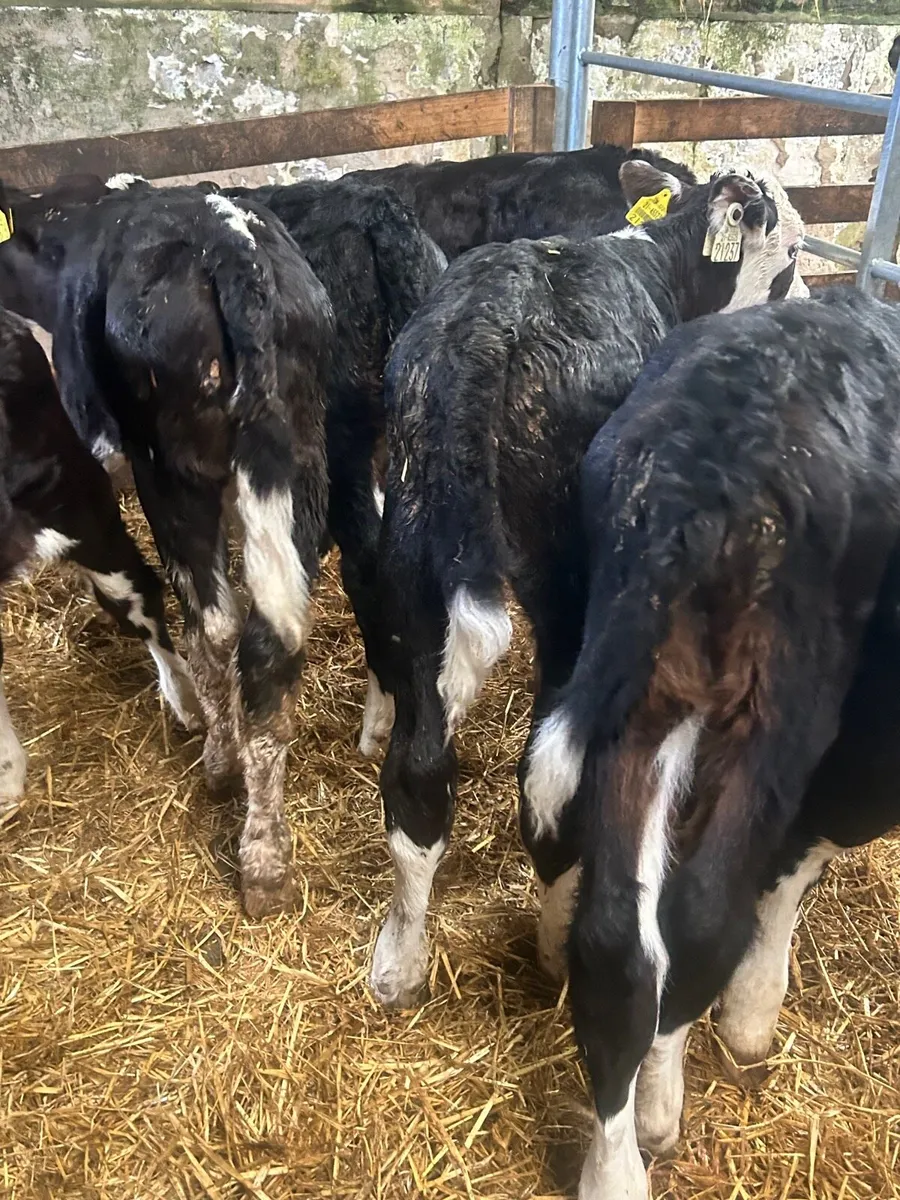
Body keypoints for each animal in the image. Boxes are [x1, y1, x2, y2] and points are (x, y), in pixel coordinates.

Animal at [367, 161, 806, 1012]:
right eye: (796, 250)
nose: (803, 304)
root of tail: (487, 323)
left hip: (411, 552)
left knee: (419, 773)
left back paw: (399, 962)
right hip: (571, 589)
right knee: (548, 777)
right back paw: (553, 947)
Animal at [522, 286, 900, 1198]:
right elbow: (800, 858)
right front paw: (755, 1011)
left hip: (643, 696)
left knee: (617, 943)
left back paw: (614, 1168)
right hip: (776, 708)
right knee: (699, 916)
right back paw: (663, 1106)